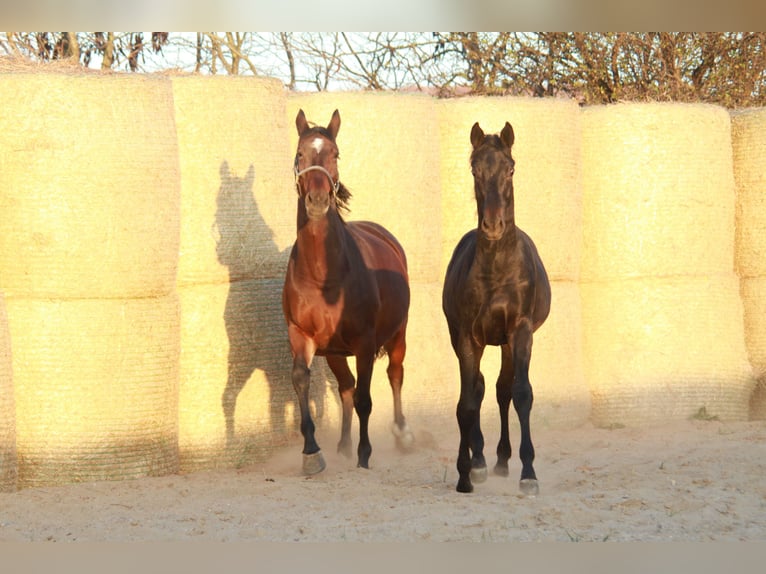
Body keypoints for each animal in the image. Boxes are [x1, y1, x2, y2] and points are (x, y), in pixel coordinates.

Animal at [282, 108, 414, 476]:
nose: (317, 200)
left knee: (394, 374)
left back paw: (402, 434)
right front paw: (312, 453)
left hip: (397, 333)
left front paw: (365, 454)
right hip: (335, 352)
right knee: (345, 387)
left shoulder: (365, 342)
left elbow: (365, 399)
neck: (323, 276)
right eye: (300, 154)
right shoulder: (301, 335)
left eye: (335, 154)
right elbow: (302, 379)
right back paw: (341, 445)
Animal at [444, 121, 552, 496]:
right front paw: (465, 473)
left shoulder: (519, 331)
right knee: (478, 389)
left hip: (505, 342)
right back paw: (479, 460)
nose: (492, 226)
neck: (497, 272)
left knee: (503, 389)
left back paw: (503, 460)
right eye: (475, 169)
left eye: (511, 168)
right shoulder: (466, 337)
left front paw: (529, 473)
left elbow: (520, 392)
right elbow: (466, 403)